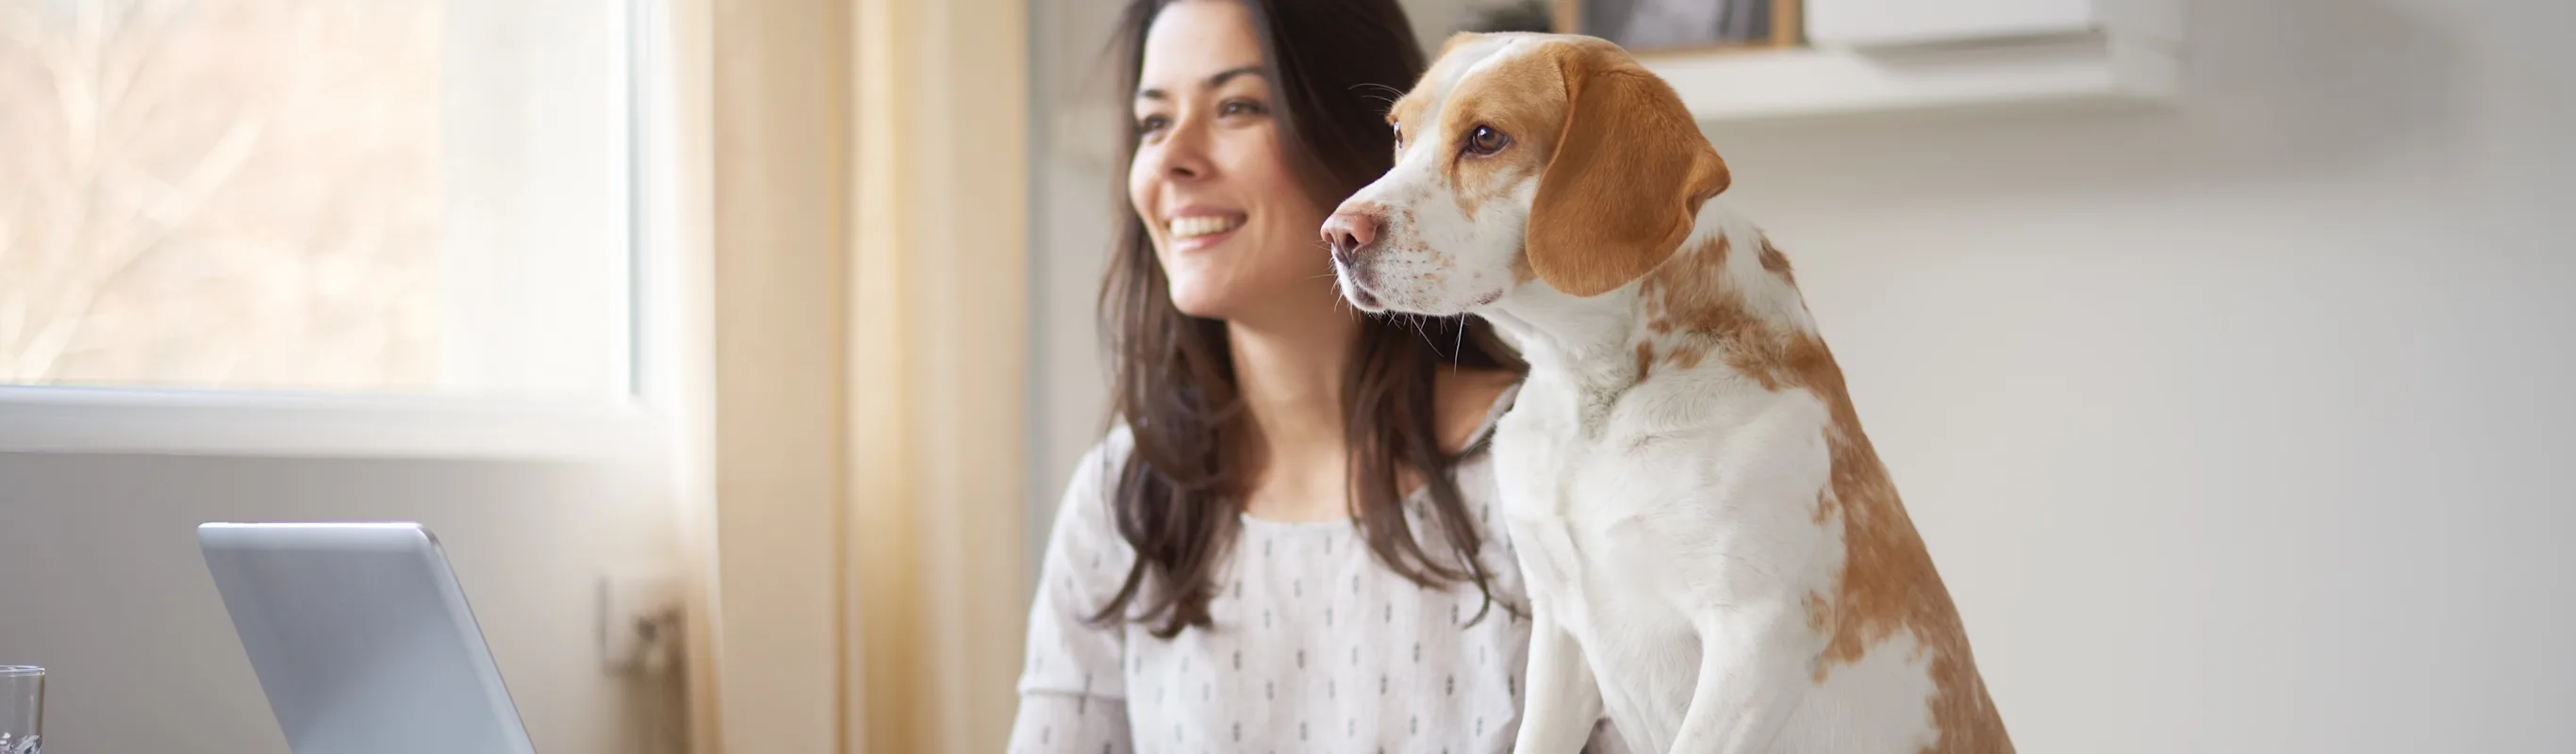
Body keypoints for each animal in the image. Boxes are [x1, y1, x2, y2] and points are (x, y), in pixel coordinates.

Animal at [1329, 32, 2008, 746]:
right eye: (1399, 132)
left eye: (1486, 137)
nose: (1337, 233)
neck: (1594, 400)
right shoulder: (1558, 628)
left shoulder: (1757, 636)